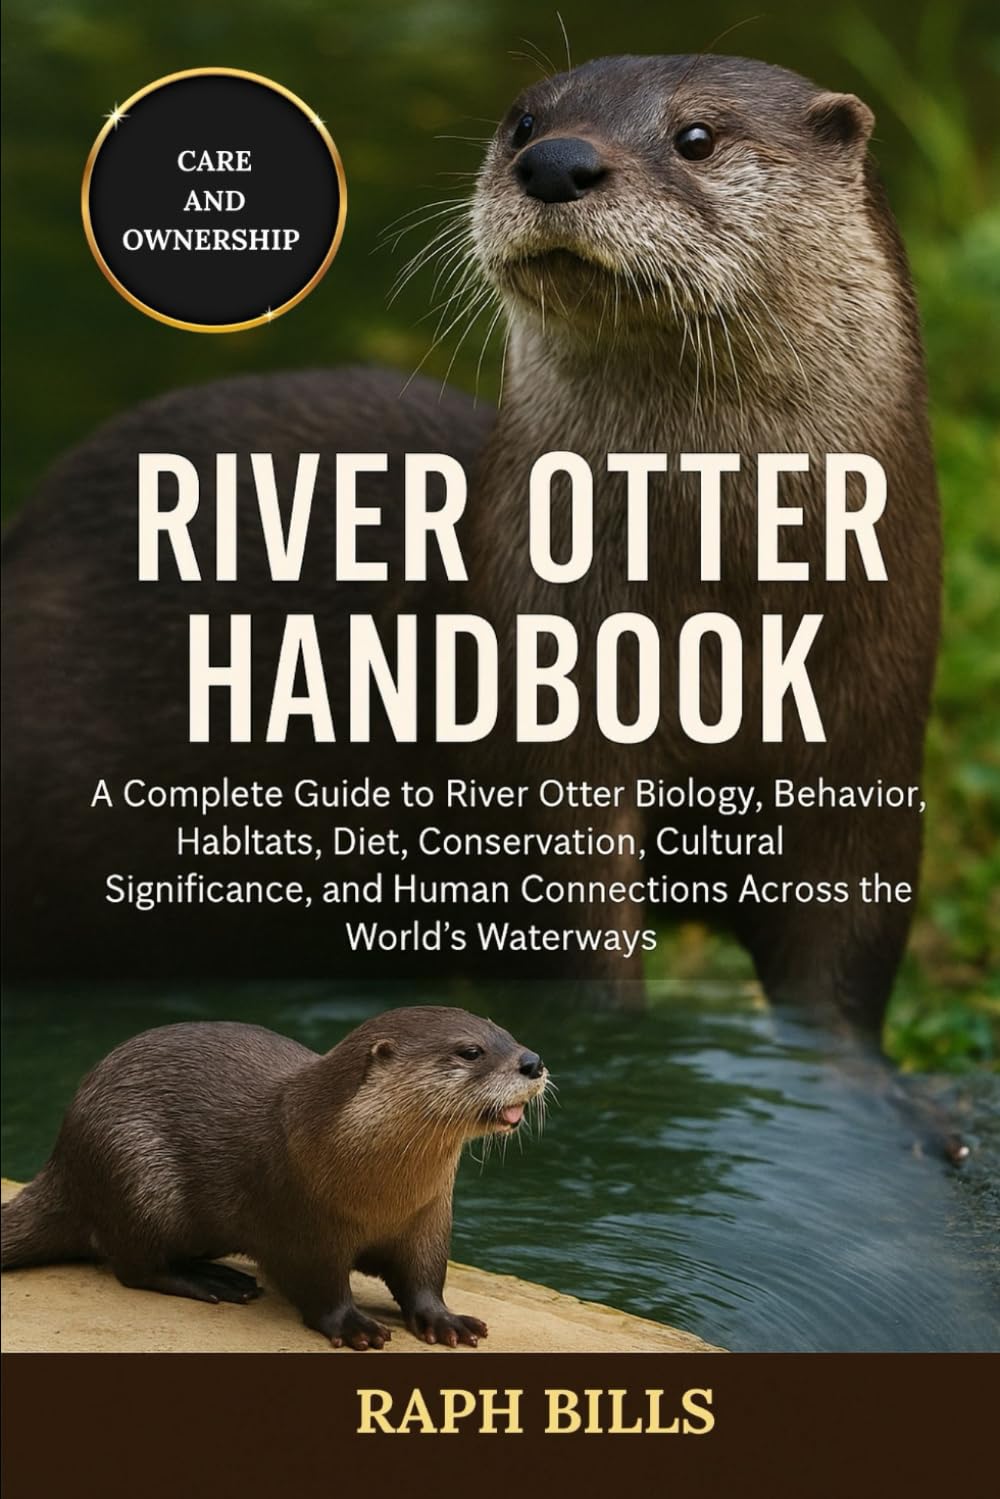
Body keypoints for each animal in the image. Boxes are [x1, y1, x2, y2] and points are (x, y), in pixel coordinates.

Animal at [0, 1008, 548, 1349]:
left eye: (507, 1034)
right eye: (471, 1051)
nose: (533, 1060)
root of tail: (63, 1158)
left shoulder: (429, 1219)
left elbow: (424, 1278)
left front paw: (444, 1320)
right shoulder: (298, 1221)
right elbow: (319, 1286)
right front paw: (354, 1326)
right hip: (134, 1171)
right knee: (134, 1265)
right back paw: (214, 1280)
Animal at [1, 54, 939, 1037]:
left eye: (697, 136)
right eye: (525, 122)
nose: (556, 162)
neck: (718, 609)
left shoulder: (869, 758)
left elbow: (843, 957)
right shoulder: (537, 749)